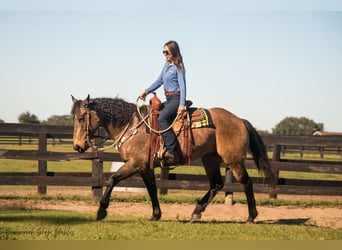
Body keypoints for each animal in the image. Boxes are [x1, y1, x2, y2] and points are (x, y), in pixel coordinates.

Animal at [71, 94, 274, 222]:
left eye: (81, 118)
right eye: (73, 118)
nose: (77, 146)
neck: (132, 124)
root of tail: (240, 120)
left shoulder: (135, 164)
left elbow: (113, 179)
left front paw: (101, 211)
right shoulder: (145, 167)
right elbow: (152, 189)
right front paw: (156, 214)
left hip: (234, 161)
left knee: (246, 183)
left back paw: (251, 216)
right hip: (210, 159)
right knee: (216, 184)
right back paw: (196, 211)